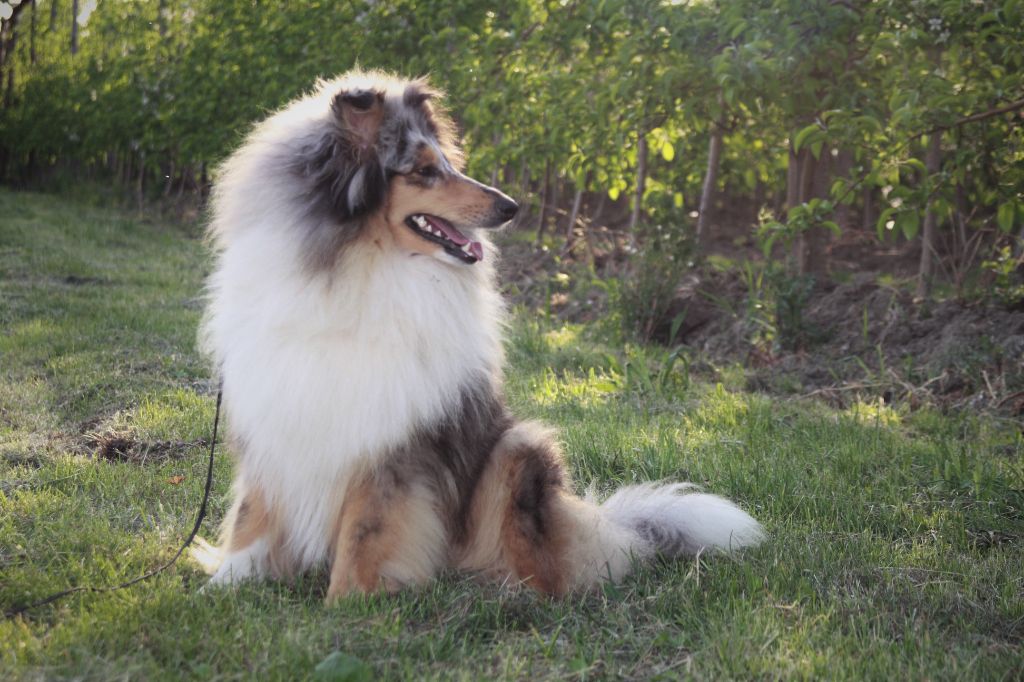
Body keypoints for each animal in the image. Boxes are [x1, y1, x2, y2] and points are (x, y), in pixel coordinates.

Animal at [201, 70, 761, 602]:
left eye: (446, 163)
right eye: (424, 170)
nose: (510, 207)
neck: (354, 264)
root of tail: (606, 526)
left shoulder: (392, 440)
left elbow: (367, 529)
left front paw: (348, 603)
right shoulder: (273, 418)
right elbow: (253, 513)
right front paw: (227, 583)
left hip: (517, 450)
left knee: (547, 570)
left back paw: (505, 593)